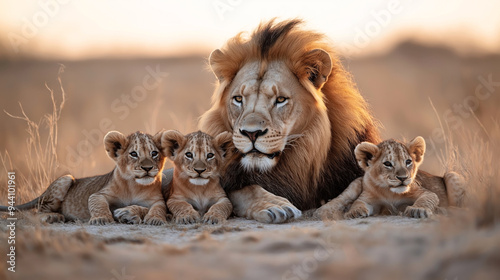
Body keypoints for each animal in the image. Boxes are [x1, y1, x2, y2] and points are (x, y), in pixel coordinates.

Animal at [193, 19, 380, 223]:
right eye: (238, 99)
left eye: (281, 99)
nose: (251, 133)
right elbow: (244, 190)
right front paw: (274, 205)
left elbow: (356, 186)